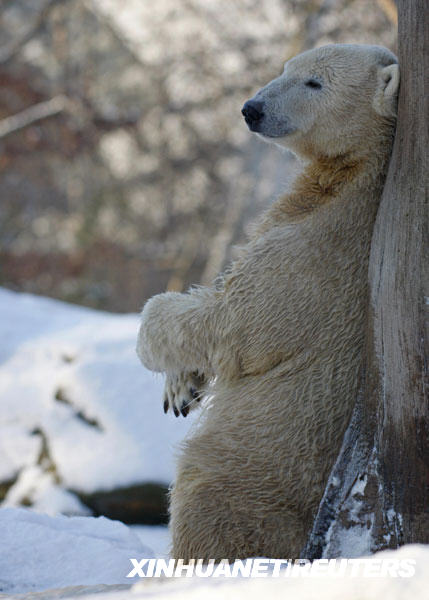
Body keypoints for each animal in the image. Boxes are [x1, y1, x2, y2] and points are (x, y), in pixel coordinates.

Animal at [136, 44, 398, 560]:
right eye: (286, 69)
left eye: (314, 82)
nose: (251, 109)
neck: (355, 176)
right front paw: (182, 388)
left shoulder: (313, 257)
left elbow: (230, 321)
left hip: (250, 469)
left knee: (202, 494)